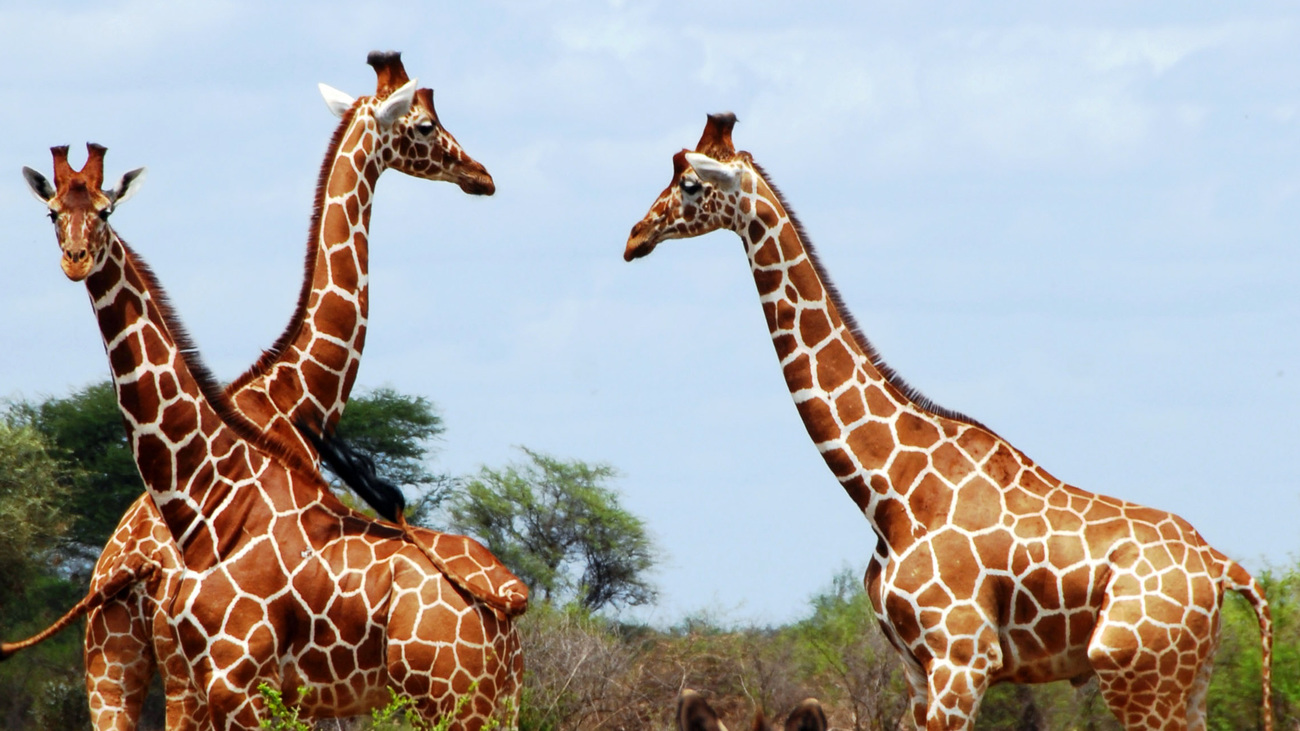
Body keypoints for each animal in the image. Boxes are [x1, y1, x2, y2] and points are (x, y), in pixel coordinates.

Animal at [6, 52, 525, 730]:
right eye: (425, 125)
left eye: (105, 210)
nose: (480, 175)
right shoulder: (233, 685)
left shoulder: (249, 687)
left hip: (450, 700)